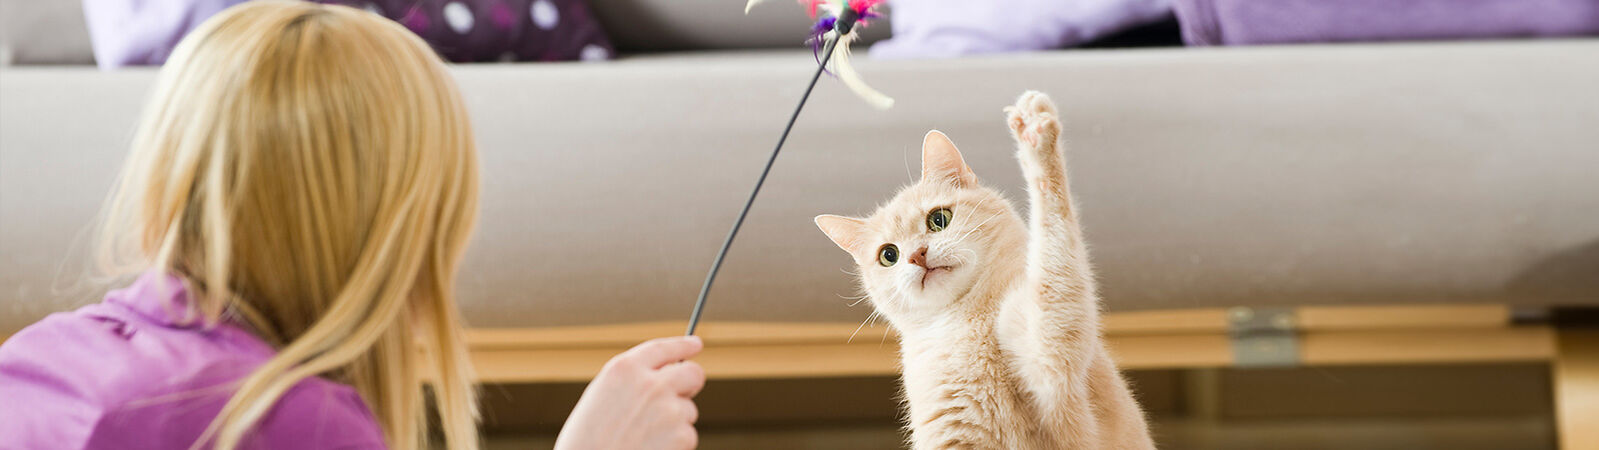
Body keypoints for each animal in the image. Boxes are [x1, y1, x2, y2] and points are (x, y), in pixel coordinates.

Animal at [818, 92, 1157, 448]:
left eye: (938, 219)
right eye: (888, 255)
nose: (917, 256)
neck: (964, 321)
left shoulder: (1050, 357)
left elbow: (1053, 233)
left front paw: (1035, 137)